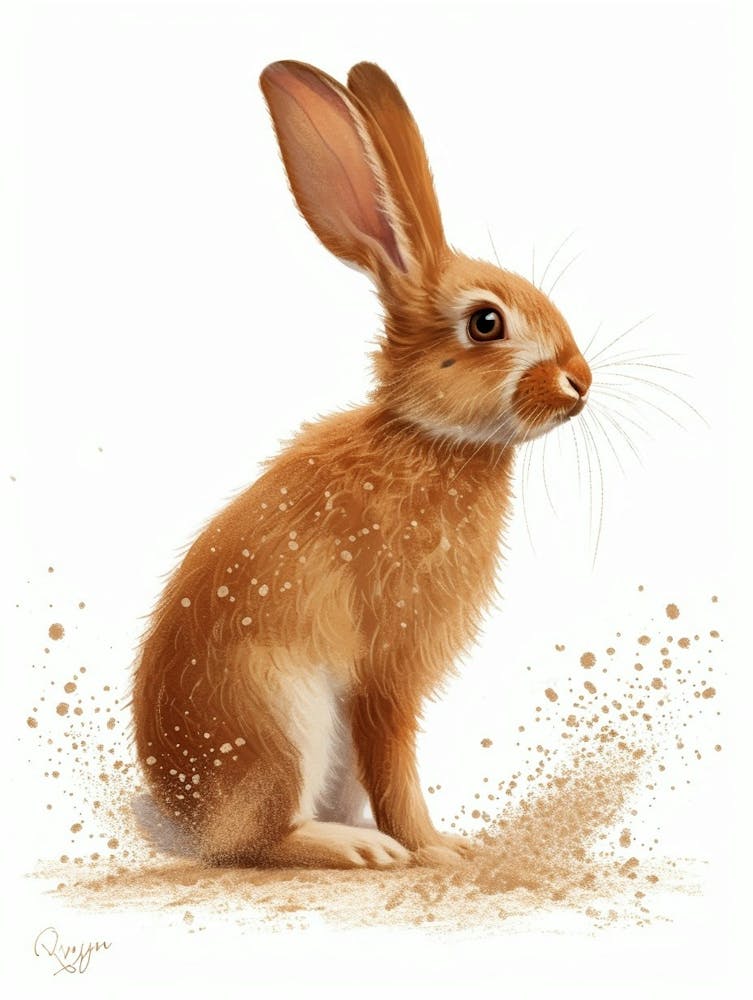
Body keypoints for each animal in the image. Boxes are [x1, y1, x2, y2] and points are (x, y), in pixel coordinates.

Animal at [133, 60, 592, 870]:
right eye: (486, 322)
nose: (581, 381)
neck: (432, 438)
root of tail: (186, 821)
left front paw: (447, 845)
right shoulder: (389, 669)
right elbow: (397, 762)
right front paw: (438, 850)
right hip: (284, 717)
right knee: (260, 841)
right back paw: (358, 850)